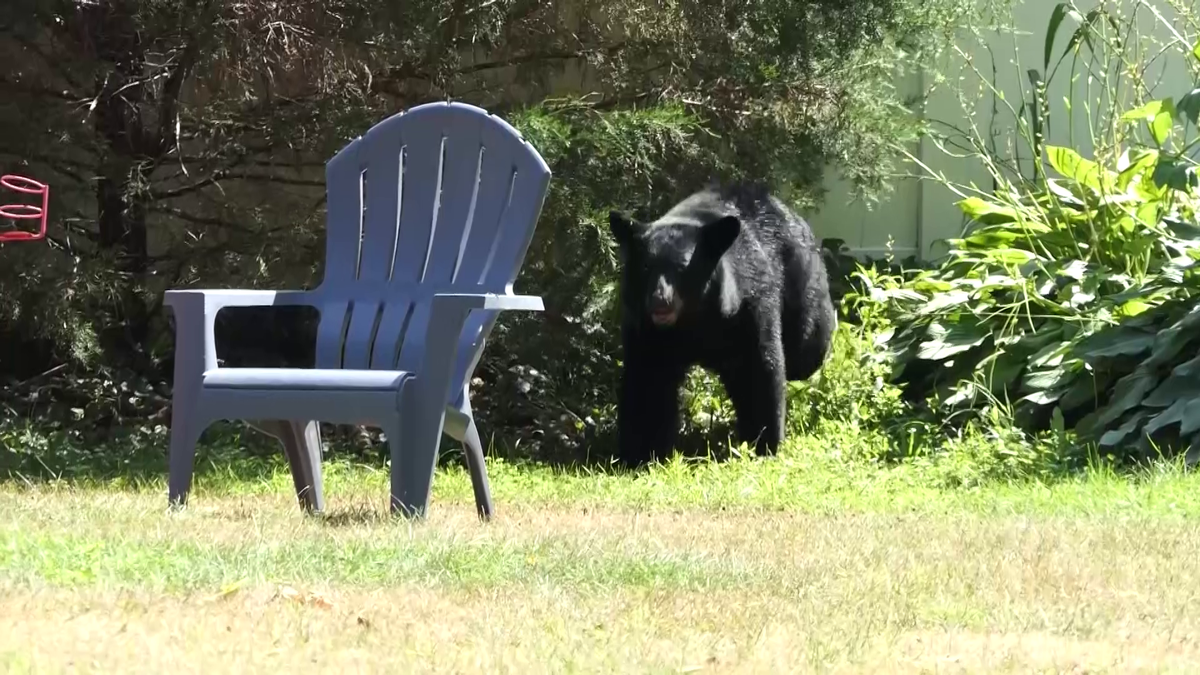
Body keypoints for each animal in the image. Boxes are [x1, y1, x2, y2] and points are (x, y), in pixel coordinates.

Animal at [608, 181, 837, 468]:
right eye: (647, 268)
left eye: (681, 269)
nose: (660, 300)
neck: (693, 321)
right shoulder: (645, 328)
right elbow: (647, 382)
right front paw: (639, 454)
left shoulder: (748, 307)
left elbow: (759, 369)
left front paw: (765, 443)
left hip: (802, 285)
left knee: (806, 349)